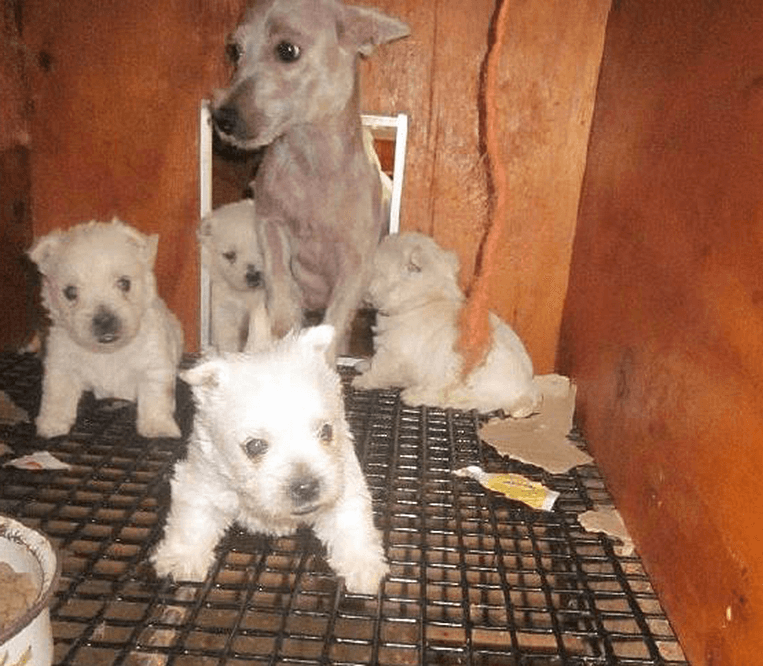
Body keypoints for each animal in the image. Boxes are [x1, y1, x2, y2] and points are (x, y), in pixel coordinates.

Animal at [28, 217, 185, 436]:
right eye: (70, 292)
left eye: (124, 283)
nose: (104, 320)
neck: (108, 352)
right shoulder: (61, 366)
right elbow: (57, 395)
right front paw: (51, 423)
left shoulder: (154, 366)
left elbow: (155, 399)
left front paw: (158, 427)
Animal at [151, 326, 388, 592]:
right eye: (254, 446)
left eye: (326, 431)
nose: (307, 487)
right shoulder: (200, 477)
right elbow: (192, 520)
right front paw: (182, 559)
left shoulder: (344, 478)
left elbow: (352, 521)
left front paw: (363, 567)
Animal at [212, 0, 408, 358]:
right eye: (236, 51)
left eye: (287, 51)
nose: (221, 119)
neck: (311, 161)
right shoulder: (269, 222)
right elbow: (279, 280)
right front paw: (282, 329)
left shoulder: (356, 264)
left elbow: (336, 320)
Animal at [354, 231, 540, 412]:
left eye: (374, 271)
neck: (422, 301)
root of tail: (525, 391)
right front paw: (364, 364)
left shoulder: (394, 353)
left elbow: (379, 369)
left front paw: (363, 380)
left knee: (452, 398)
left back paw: (415, 396)